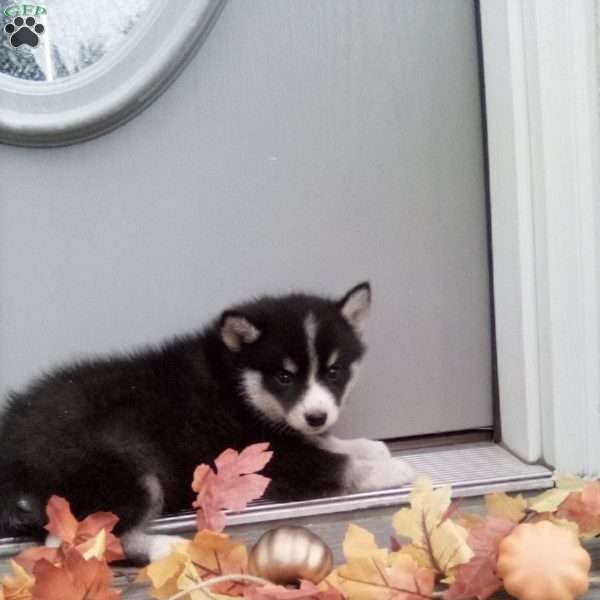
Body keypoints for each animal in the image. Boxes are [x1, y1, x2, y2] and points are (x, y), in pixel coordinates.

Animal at [0, 284, 412, 560]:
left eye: (334, 372)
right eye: (284, 377)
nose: (317, 416)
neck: (236, 382)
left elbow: (329, 443)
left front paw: (370, 446)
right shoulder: (269, 463)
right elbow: (341, 463)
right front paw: (394, 469)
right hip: (128, 468)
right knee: (76, 540)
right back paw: (164, 546)